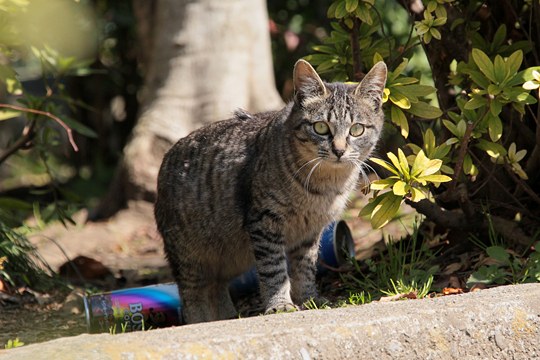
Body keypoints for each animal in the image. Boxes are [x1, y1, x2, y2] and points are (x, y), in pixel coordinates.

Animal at [154, 59, 386, 324]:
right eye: (320, 127)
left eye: (357, 129)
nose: (338, 150)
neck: (323, 187)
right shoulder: (265, 222)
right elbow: (274, 270)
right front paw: (280, 304)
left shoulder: (310, 233)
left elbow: (305, 269)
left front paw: (310, 299)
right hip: (190, 257)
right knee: (193, 296)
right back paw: (202, 321)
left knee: (218, 289)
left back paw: (229, 317)